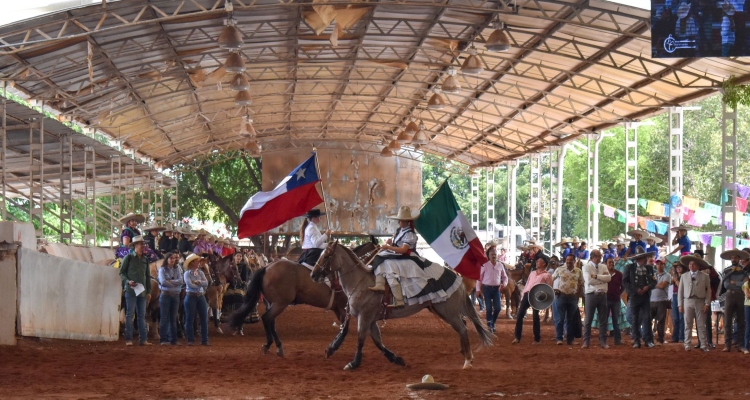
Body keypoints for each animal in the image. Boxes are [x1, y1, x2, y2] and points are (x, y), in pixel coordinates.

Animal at [231, 242, 382, 358]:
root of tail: (266, 267)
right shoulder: (344, 308)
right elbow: (345, 329)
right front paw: (332, 349)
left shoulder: (338, 309)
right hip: (280, 303)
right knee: (267, 318)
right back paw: (276, 346)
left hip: (271, 302)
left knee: (270, 321)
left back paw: (271, 345)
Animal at [310, 239, 494, 370]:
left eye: (326, 256)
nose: (313, 274)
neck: (360, 281)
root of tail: (457, 277)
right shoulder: (371, 319)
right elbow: (377, 341)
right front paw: (397, 359)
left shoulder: (365, 316)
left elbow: (361, 339)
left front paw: (353, 363)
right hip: (443, 311)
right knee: (462, 325)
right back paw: (464, 353)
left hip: (449, 312)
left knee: (462, 329)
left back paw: (468, 360)